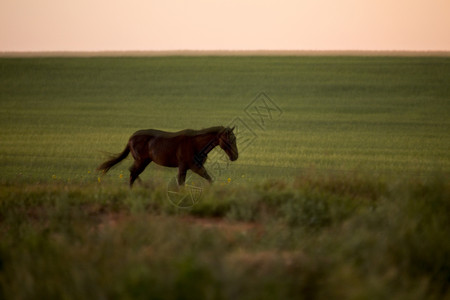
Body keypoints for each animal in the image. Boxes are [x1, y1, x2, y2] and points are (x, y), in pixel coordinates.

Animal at [97, 125, 239, 186]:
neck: (195, 144)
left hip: (145, 161)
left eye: (235, 138)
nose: (235, 156)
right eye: (230, 139)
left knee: (133, 172)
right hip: (141, 160)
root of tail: (130, 138)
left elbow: (209, 179)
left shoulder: (195, 167)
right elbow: (181, 183)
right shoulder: (186, 166)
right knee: (133, 172)